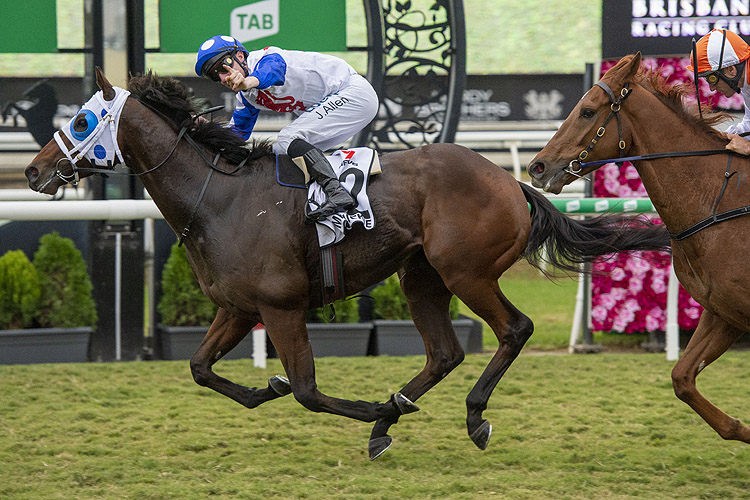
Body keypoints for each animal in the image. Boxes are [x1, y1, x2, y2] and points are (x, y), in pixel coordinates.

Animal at [23, 68, 668, 458]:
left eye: (80, 119)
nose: (31, 170)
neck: (219, 199)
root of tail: (512, 181)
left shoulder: (282, 307)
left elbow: (308, 390)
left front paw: (362, 407)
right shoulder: (239, 308)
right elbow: (200, 369)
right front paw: (270, 389)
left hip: (466, 272)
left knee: (514, 329)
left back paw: (467, 416)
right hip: (421, 276)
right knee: (445, 351)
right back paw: (393, 415)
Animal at [528, 52, 750, 444]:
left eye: (587, 111)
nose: (537, 167)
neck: (722, 202)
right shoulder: (723, 311)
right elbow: (682, 378)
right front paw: (740, 428)